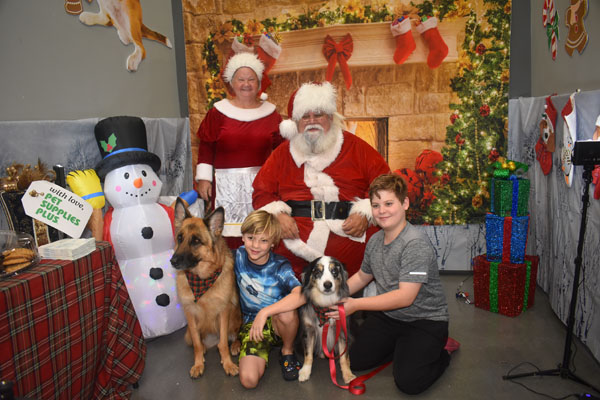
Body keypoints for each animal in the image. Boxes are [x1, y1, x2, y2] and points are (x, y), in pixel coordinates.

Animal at [170, 200, 240, 378]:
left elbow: (223, 343)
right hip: (189, 332)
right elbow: (196, 344)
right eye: (180, 238)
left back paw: (235, 345)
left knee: (234, 335)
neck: (202, 280)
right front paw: (198, 364)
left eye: (196, 241)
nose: (173, 261)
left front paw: (228, 364)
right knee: (199, 342)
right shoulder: (190, 314)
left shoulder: (224, 312)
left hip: (235, 317)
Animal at [298, 256, 354, 384]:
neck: (324, 305)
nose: (328, 285)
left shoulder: (342, 330)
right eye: (317, 272)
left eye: (334, 271)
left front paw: (348, 375)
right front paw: (305, 371)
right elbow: (308, 354)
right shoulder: (308, 330)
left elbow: (344, 356)